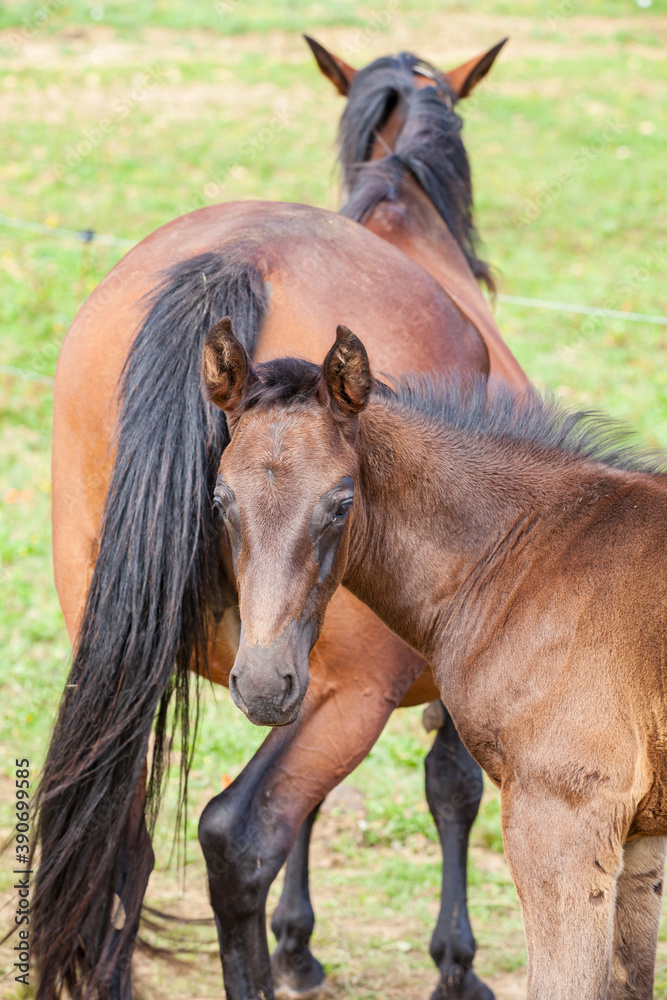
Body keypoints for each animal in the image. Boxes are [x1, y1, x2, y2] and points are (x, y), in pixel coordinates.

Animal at [36, 41, 523, 1000]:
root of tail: (239, 256)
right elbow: (452, 784)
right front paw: (454, 964)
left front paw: (298, 943)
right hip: (344, 693)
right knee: (238, 836)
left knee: (119, 847)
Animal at [202, 321, 667, 1000]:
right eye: (220, 499)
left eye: (341, 502)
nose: (264, 684)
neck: (529, 550)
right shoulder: (639, 841)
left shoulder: (562, 824)